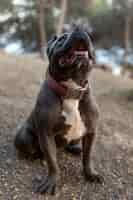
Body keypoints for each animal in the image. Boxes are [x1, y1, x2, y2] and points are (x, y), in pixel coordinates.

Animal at [14, 27, 103, 195]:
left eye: (89, 36)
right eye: (61, 39)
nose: (80, 29)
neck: (72, 90)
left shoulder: (91, 131)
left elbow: (88, 157)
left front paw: (90, 174)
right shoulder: (46, 133)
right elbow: (52, 162)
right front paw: (51, 181)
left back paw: (75, 149)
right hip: (24, 137)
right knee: (34, 150)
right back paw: (38, 157)